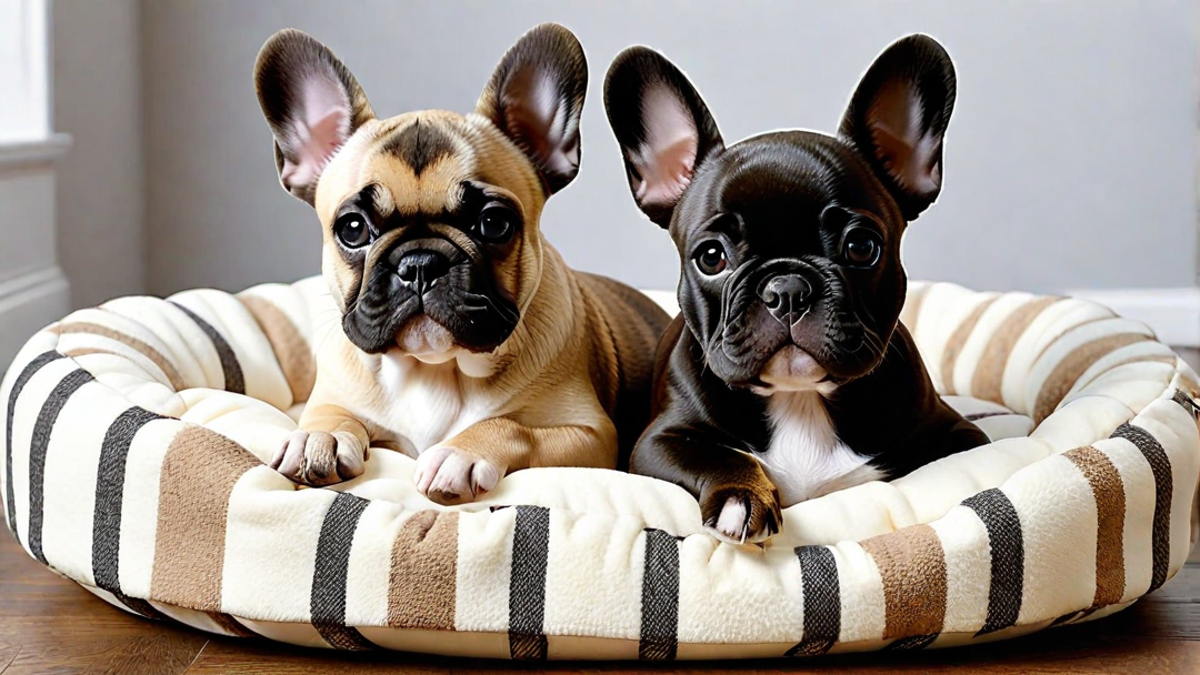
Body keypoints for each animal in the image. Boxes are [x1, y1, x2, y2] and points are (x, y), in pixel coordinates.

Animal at [255, 23, 667, 502]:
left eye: (494, 223)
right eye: (353, 229)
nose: (419, 263)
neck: (434, 370)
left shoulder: (591, 433)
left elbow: (511, 426)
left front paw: (461, 452)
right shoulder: (331, 396)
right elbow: (329, 414)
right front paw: (319, 437)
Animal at [604, 35, 988, 540]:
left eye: (861, 247)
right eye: (711, 257)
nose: (787, 288)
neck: (798, 398)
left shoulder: (959, 434)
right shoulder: (659, 441)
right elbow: (716, 455)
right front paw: (741, 496)